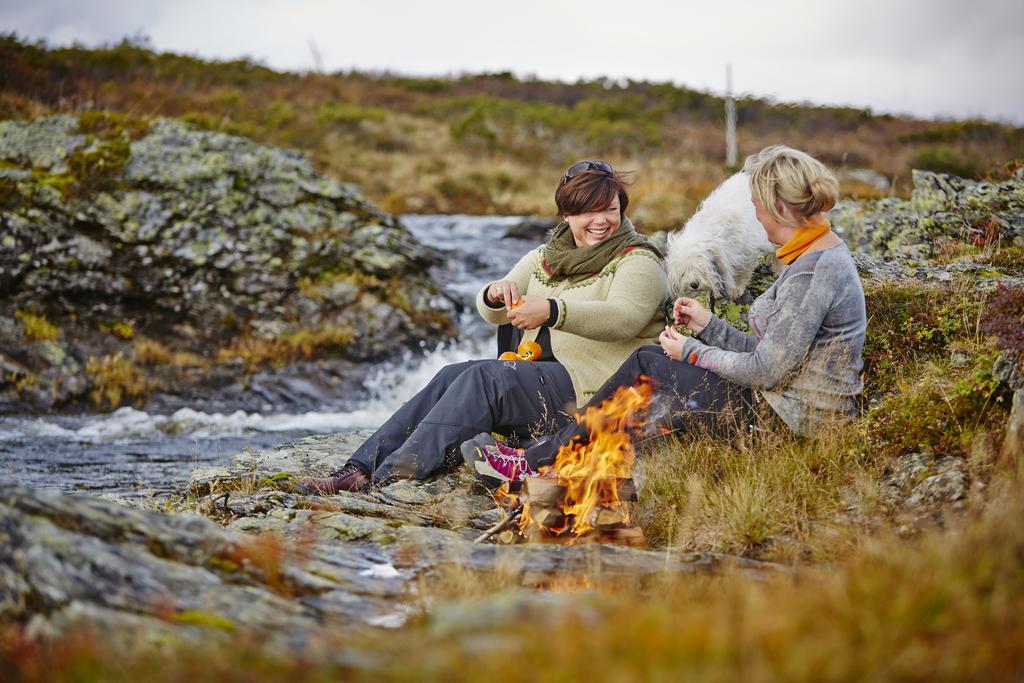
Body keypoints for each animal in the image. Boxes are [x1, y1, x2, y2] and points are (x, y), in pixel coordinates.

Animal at [663, 172, 774, 301]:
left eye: (701, 268)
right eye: (683, 272)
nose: (694, 284)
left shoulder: (746, 252)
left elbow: (742, 273)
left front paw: (735, 290)